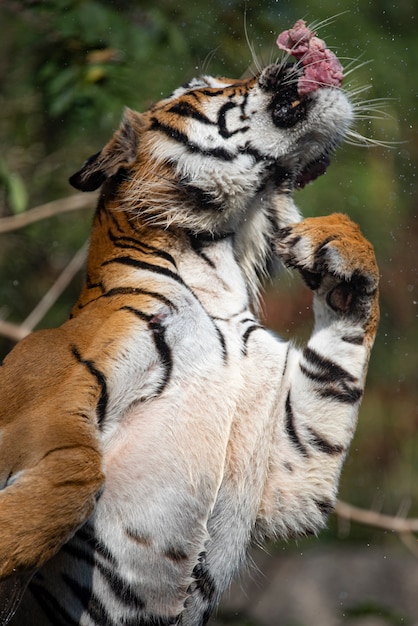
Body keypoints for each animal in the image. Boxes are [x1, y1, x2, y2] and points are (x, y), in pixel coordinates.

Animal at [0, 18, 378, 624]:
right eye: (203, 86)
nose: (297, 49)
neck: (217, 269)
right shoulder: (48, 386)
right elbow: (78, 470)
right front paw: (13, 540)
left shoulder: (290, 469)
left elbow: (336, 377)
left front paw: (336, 247)